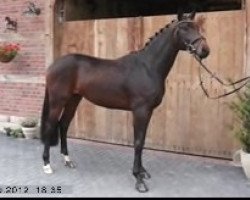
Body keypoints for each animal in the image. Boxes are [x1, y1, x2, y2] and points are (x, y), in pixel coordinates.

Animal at [40, 11, 209, 193]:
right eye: (184, 28)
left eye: (197, 26)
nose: (205, 50)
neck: (148, 67)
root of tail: (53, 66)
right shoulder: (140, 111)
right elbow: (137, 142)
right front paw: (138, 179)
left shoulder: (148, 111)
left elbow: (142, 141)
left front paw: (142, 172)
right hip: (58, 101)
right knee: (50, 126)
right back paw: (46, 164)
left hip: (74, 99)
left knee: (63, 125)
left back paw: (67, 160)